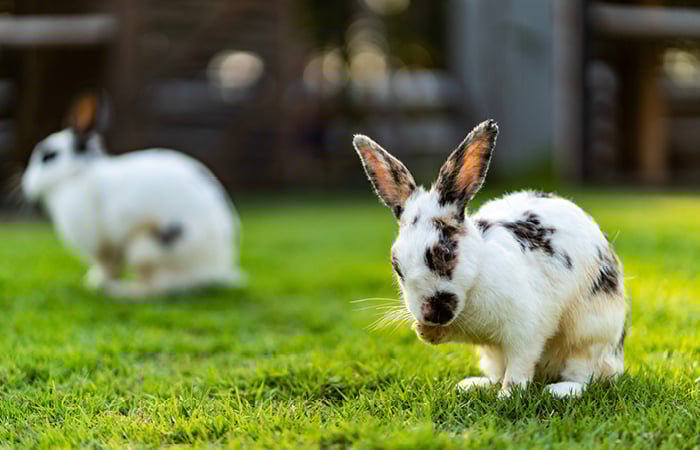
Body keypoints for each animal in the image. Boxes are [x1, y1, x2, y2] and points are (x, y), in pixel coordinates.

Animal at [22, 94, 244, 298]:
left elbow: (106, 266)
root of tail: (215, 271)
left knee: (158, 288)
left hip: (146, 249)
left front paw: (95, 284)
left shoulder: (101, 246)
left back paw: (120, 291)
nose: (26, 184)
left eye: (49, 156)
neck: (78, 174)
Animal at [353, 120, 625, 398]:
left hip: (590, 335)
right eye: (397, 267)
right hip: (492, 356)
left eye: (445, 253)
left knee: (586, 373)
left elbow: (519, 367)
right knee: (496, 373)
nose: (431, 314)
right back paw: (472, 385)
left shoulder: (526, 331)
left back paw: (560, 390)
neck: (473, 286)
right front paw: (424, 332)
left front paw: (509, 396)